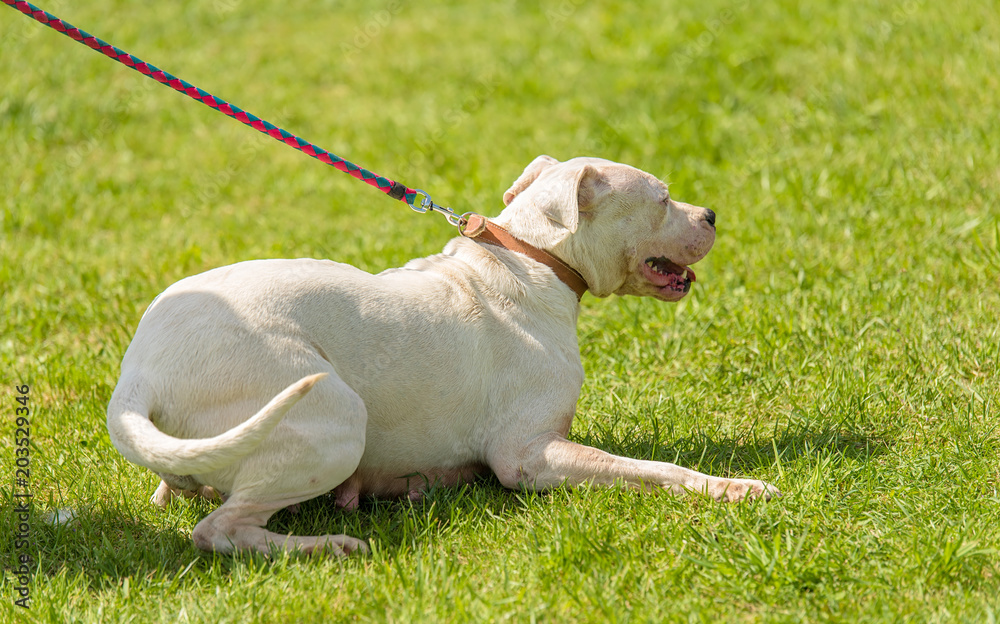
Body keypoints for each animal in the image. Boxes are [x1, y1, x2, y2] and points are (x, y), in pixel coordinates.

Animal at [111, 156, 780, 556]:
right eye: (662, 199)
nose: (712, 214)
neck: (533, 257)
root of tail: (139, 377)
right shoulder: (529, 455)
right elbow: (653, 469)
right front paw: (735, 488)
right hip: (328, 415)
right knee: (218, 531)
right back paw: (327, 546)